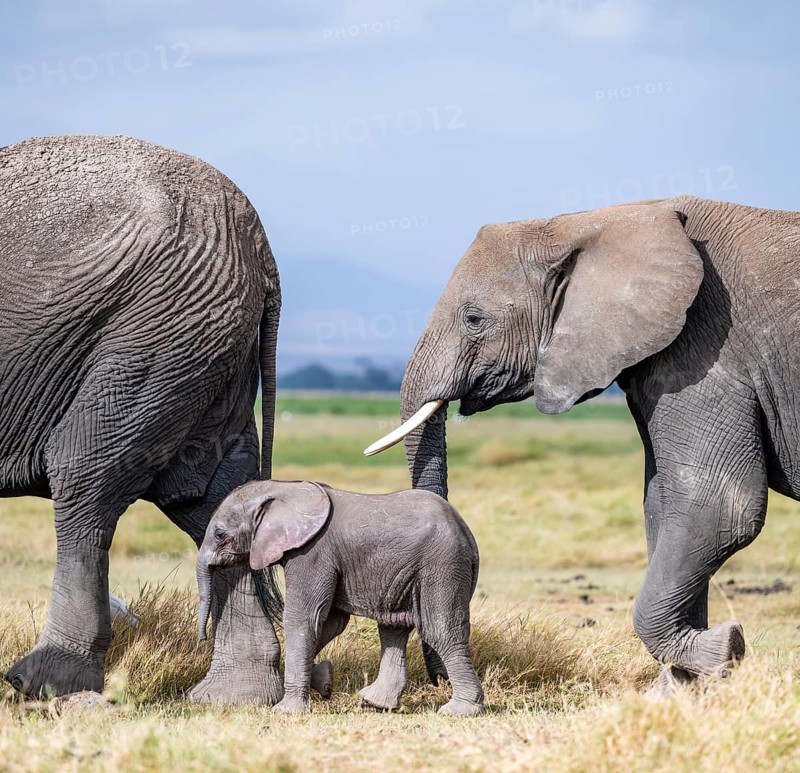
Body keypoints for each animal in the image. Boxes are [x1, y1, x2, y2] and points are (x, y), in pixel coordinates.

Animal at [0, 134, 284, 702]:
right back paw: (233, 698)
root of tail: (258, 248)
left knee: (83, 470)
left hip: (158, 325)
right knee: (211, 495)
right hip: (204, 334)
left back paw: (41, 681)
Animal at [196, 479, 485, 715]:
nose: (202, 638)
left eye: (220, 535)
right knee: (393, 627)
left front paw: (286, 711)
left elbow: (304, 619)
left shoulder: (312, 553)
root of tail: (467, 534)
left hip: (442, 565)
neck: (282, 487)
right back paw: (375, 703)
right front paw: (325, 681)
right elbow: (330, 623)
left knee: (440, 630)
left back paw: (459, 711)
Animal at [365, 196, 800, 687]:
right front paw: (685, 682)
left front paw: (724, 650)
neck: (588, 223)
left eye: (474, 320)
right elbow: (664, 507)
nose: (437, 678)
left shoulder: (708, 349)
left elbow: (717, 507)